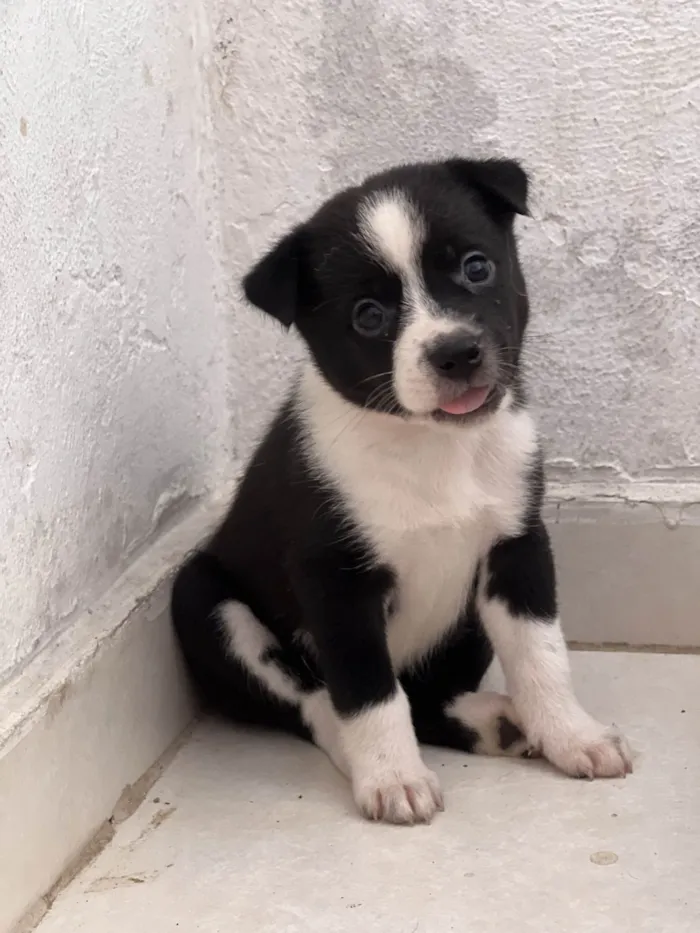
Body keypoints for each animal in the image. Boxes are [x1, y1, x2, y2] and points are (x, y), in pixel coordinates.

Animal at [171, 158, 636, 824]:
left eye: (476, 267)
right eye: (368, 315)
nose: (456, 353)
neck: (431, 445)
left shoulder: (516, 548)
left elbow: (541, 653)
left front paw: (573, 735)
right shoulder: (337, 583)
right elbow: (367, 691)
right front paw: (393, 778)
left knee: (425, 691)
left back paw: (495, 721)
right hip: (203, 600)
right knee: (317, 702)